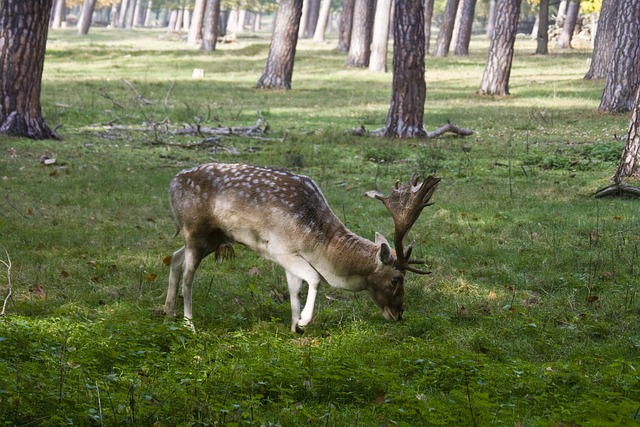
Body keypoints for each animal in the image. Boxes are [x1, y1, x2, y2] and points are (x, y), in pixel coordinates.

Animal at [162, 162, 440, 332]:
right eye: (396, 279)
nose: (399, 314)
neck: (319, 247)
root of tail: (172, 183)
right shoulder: (281, 249)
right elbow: (315, 279)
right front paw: (304, 321)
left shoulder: (289, 258)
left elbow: (294, 289)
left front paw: (294, 326)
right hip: (195, 230)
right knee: (188, 275)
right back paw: (189, 323)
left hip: (210, 238)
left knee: (175, 258)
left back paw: (168, 312)